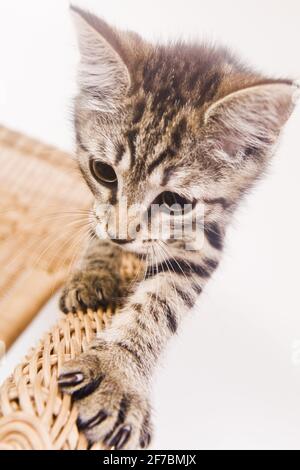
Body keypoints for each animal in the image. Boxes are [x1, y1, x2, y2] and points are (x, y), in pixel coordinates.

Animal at [58, 5, 298, 450]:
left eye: (173, 201)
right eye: (103, 172)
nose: (123, 234)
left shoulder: (204, 238)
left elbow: (160, 302)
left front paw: (115, 371)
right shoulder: (98, 202)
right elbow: (98, 222)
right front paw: (95, 270)